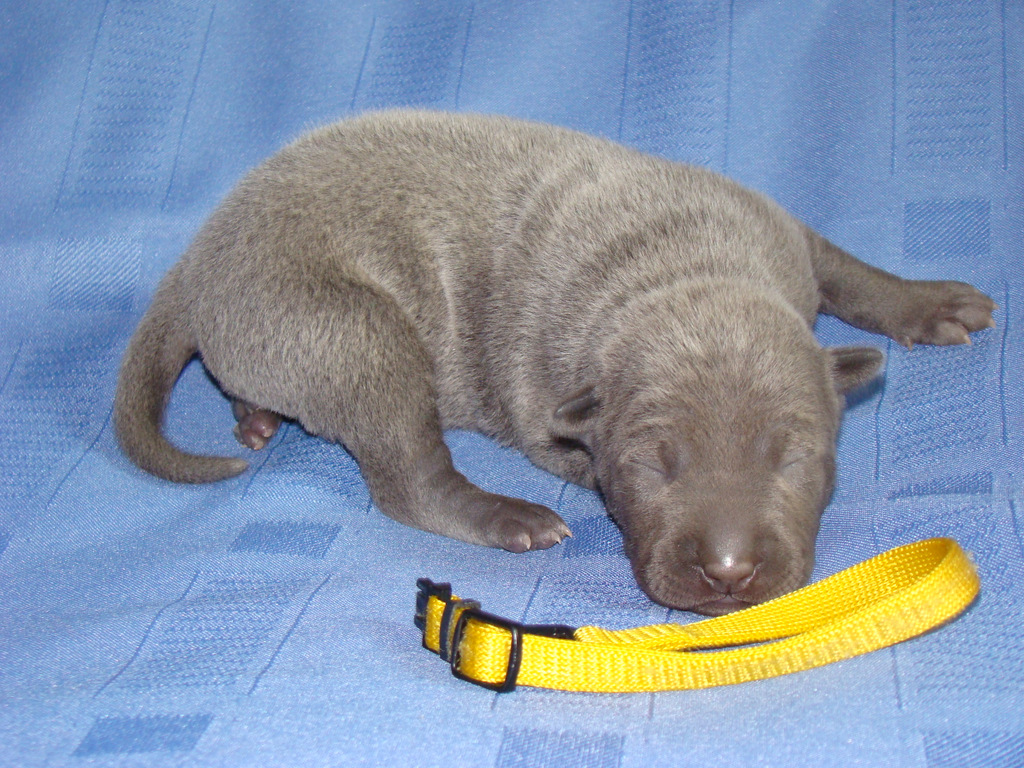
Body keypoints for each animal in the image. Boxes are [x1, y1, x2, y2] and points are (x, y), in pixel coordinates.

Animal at [115, 110, 995, 615]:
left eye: (793, 456)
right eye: (651, 465)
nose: (728, 570)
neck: (677, 270)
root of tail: (195, 260)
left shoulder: (778, 232)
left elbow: (844, 267)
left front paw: (927, 302)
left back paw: (256, 416)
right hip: (346, 329)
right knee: (406, 474)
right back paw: (509, 517)